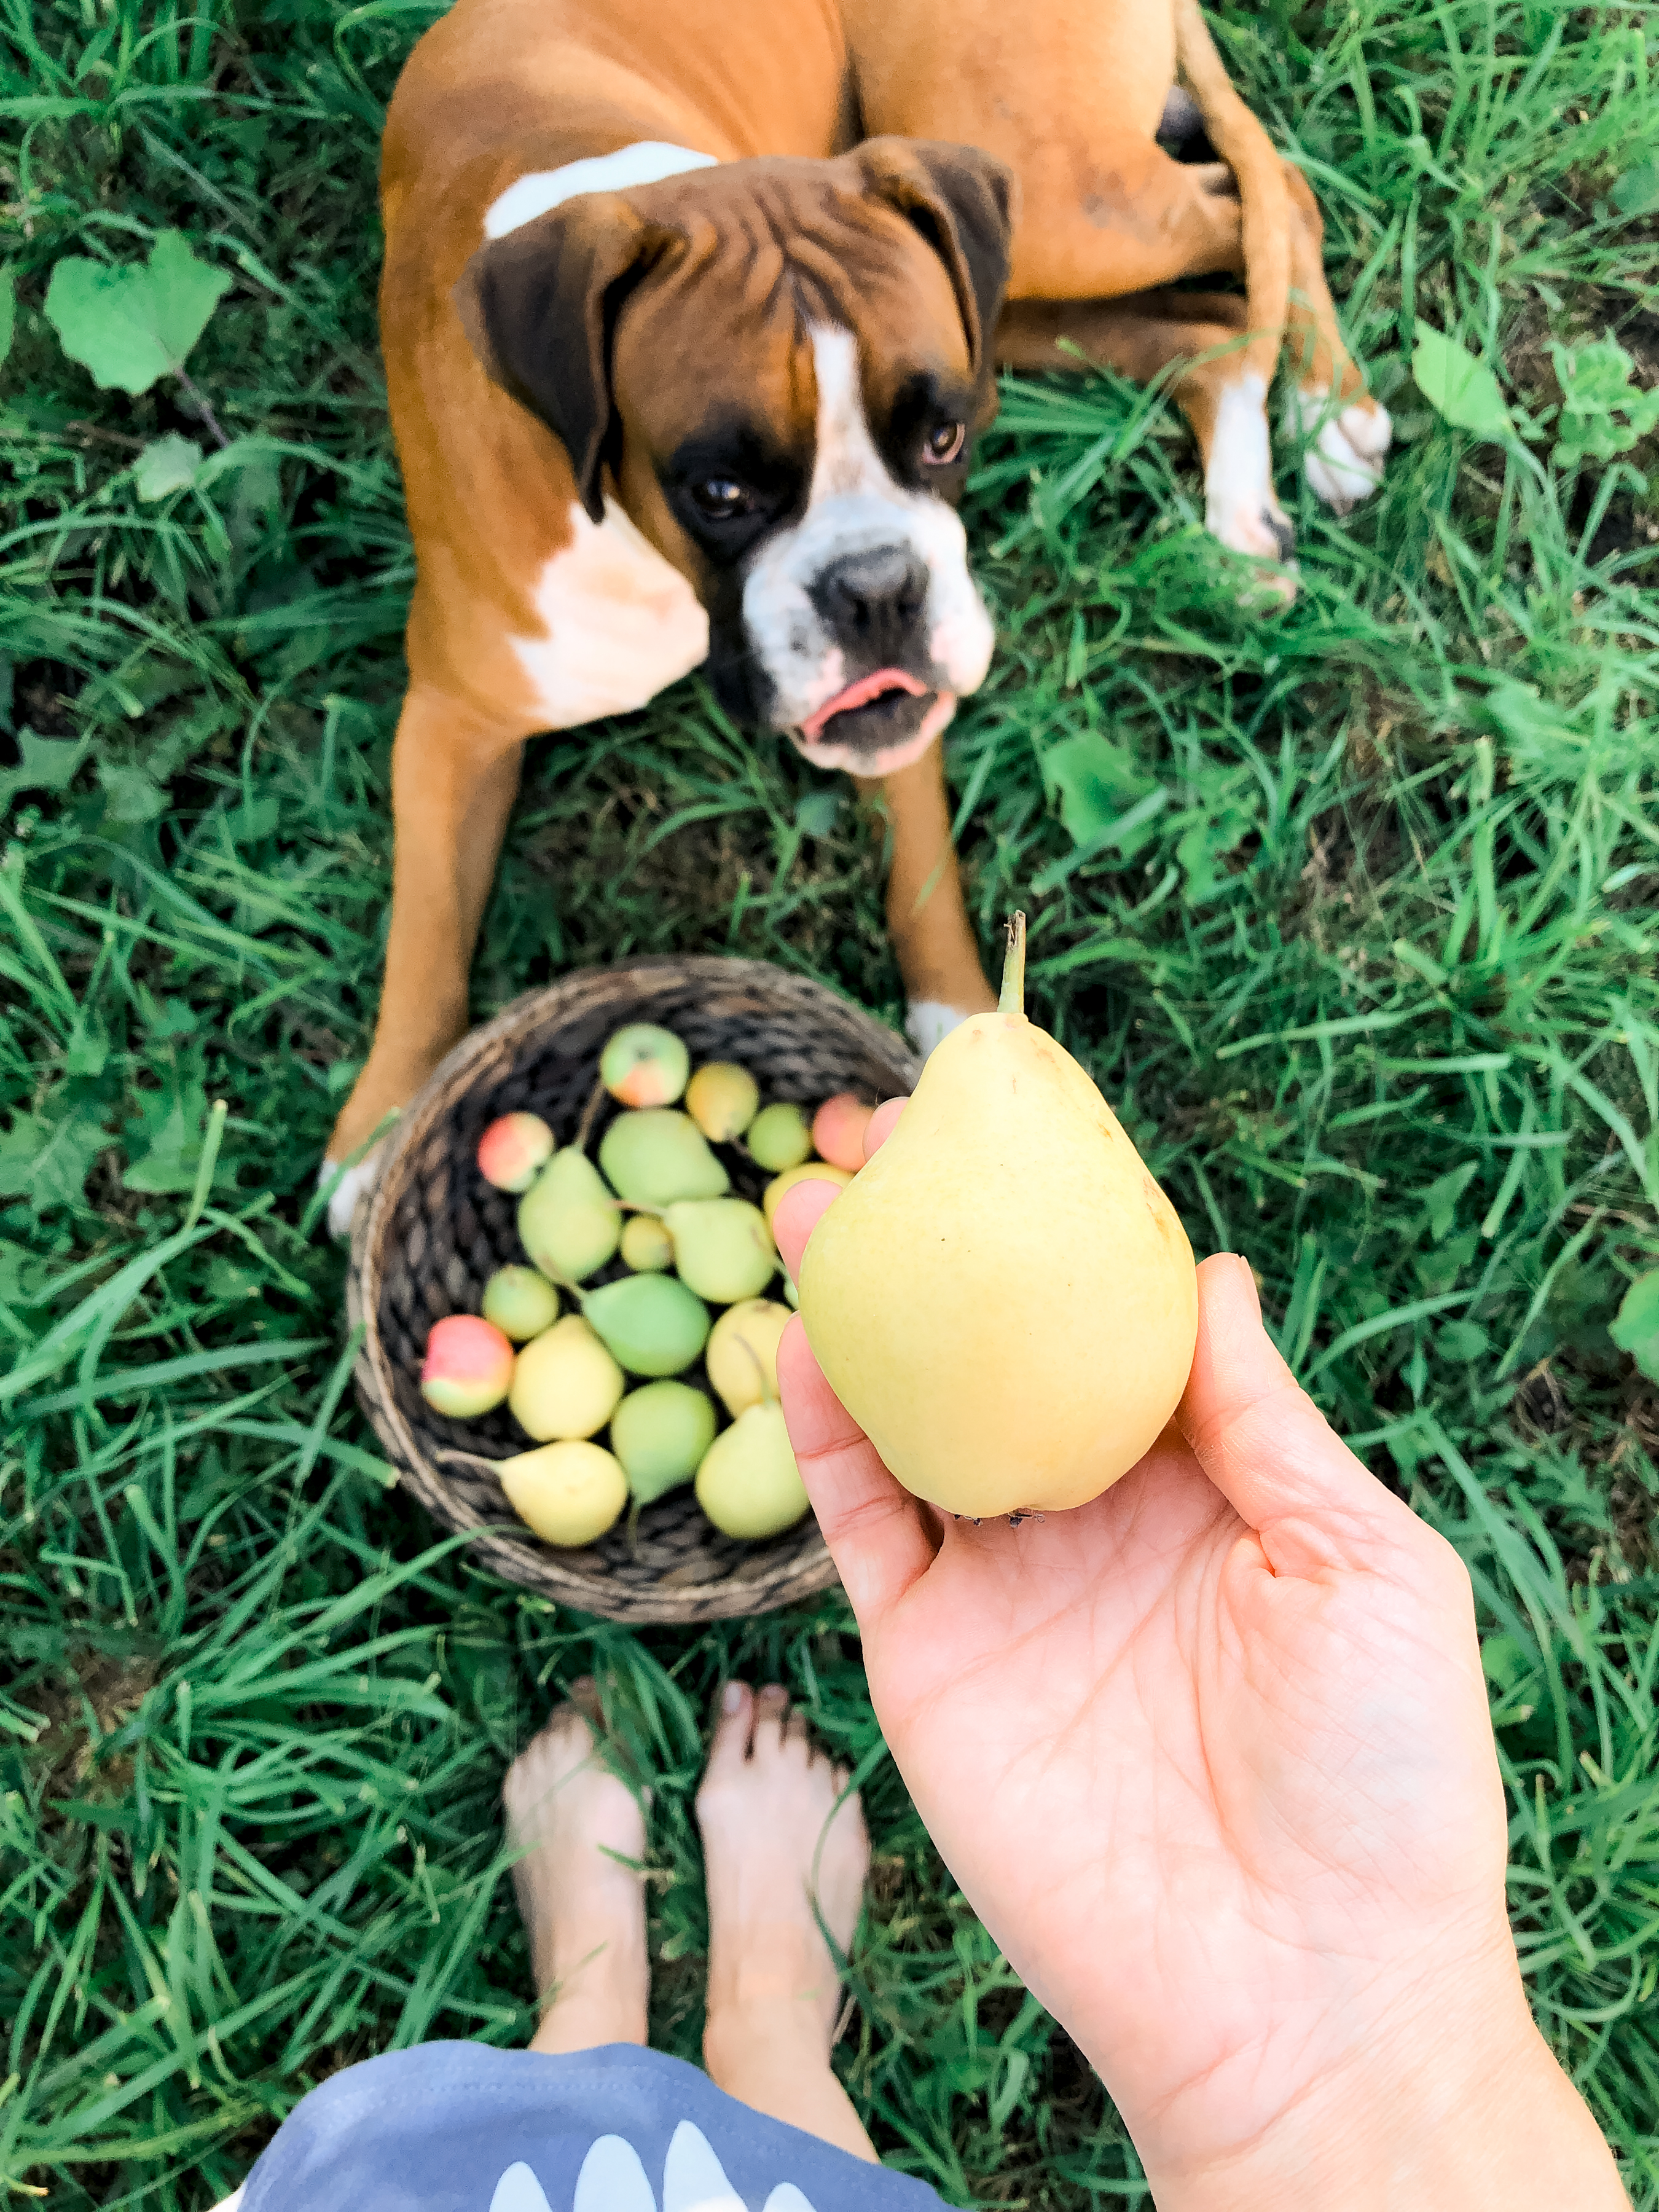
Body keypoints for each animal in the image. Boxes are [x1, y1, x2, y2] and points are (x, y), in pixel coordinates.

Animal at [325, 0, 1389, 1230]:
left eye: (943, 440)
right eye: (718, 491)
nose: (879, 587)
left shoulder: (898, 701)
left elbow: (921, 863)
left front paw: (957, 1023)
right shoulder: (453, 721)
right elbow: (426, 929)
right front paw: (382, 1135)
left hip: (1052, 212)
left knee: (1259, 193)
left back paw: (1329, 410)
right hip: (1015, 299)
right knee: (1206, 325)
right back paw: (1244, 506)